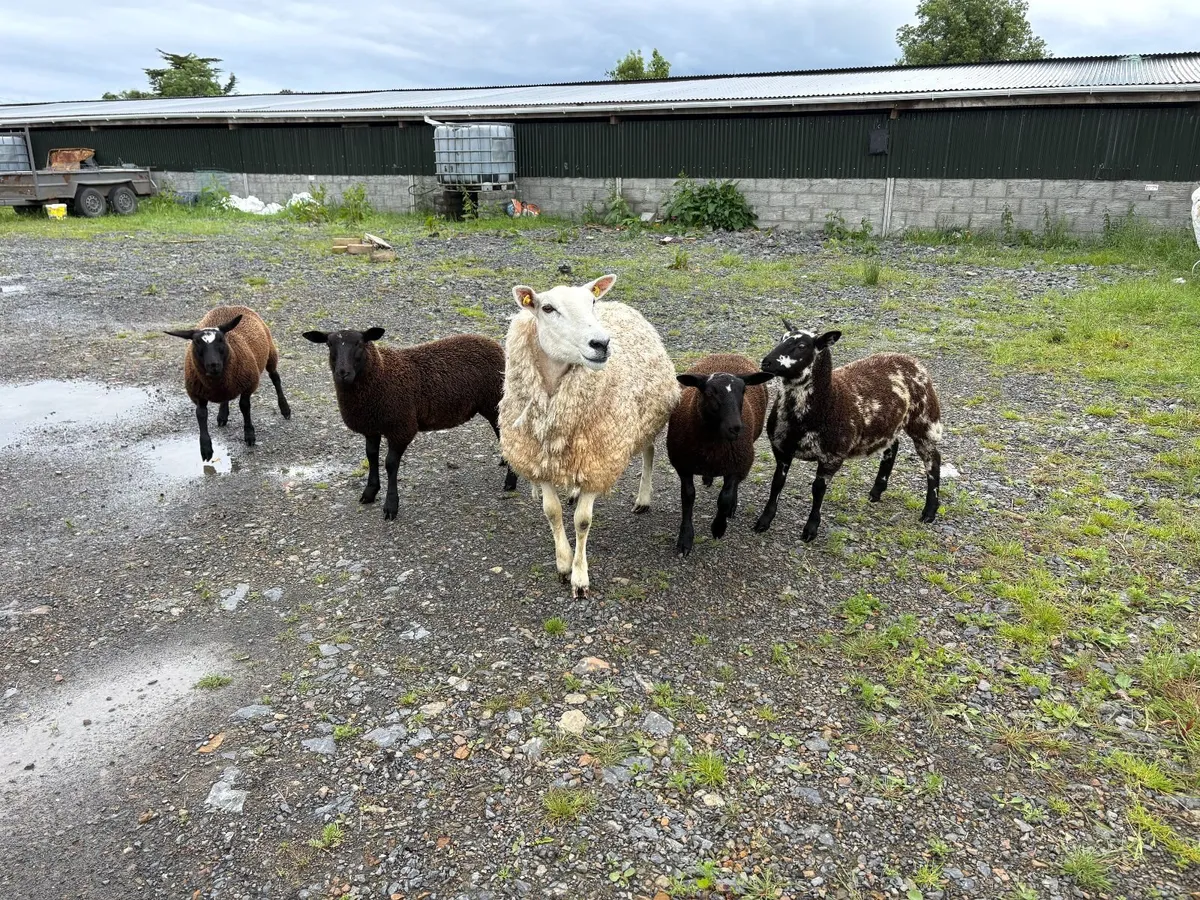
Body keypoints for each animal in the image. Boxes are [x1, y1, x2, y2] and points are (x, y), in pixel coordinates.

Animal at [165, 304, 290, 461]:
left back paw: (285, 408)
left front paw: (249, 435)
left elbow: (245, 407)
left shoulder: (248, 385)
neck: (216, 383)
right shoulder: (198, 394)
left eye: (221, 340)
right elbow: (201, 415)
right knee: (225, 398)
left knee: (275, 378)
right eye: (196, 342)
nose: (214, 365)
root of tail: (230, 306)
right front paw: (206, 448)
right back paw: (222, 415)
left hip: (270, 354)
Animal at [302, 328, 518, 520]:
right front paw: (370, 492)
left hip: (494, 401)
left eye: (360, 343)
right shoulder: (371, 427)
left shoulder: (401, 427)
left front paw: (390, 506)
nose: (342, 373)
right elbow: (371, 456)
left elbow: (390, 464)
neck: (381, 373)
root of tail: (492, 343)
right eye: (329, 344)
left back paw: (510, 481)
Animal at [499, 274, 680, 597]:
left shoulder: (599, 461)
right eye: (547, 308)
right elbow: (552, 512)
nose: (601, 343)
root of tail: (620, 303)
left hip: (647, 416)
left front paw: (580, 577)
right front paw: (563, 563)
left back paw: (643, 498)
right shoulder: (540, 461)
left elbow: (582, 521)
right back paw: (573, 492)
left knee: (648, 452)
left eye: (592, 301)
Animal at [667, 354, 774, 556]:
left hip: (743, 458)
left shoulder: (736, 464)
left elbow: (724, 498)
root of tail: (730, 354)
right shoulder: (683, 466)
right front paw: (685, 538)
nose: (736, 428)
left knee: (735, 486)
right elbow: (688, 497)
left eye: (743, 391)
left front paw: (718, 527)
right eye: (709, 393)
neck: (713, 445)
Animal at [752, 322, 943, 542]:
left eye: (801, 346)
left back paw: (929, 511)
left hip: (923, 419)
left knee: (932, 460)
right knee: (892, 446)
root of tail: (909, 358)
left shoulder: (832, 457)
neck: (828, 400)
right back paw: (877, 491)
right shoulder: (782, 449)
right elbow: (777, 483)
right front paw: (764, 521)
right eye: (782, 338)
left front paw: (811, 529)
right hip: (888, 424)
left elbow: (818, 490)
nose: (766, 363)